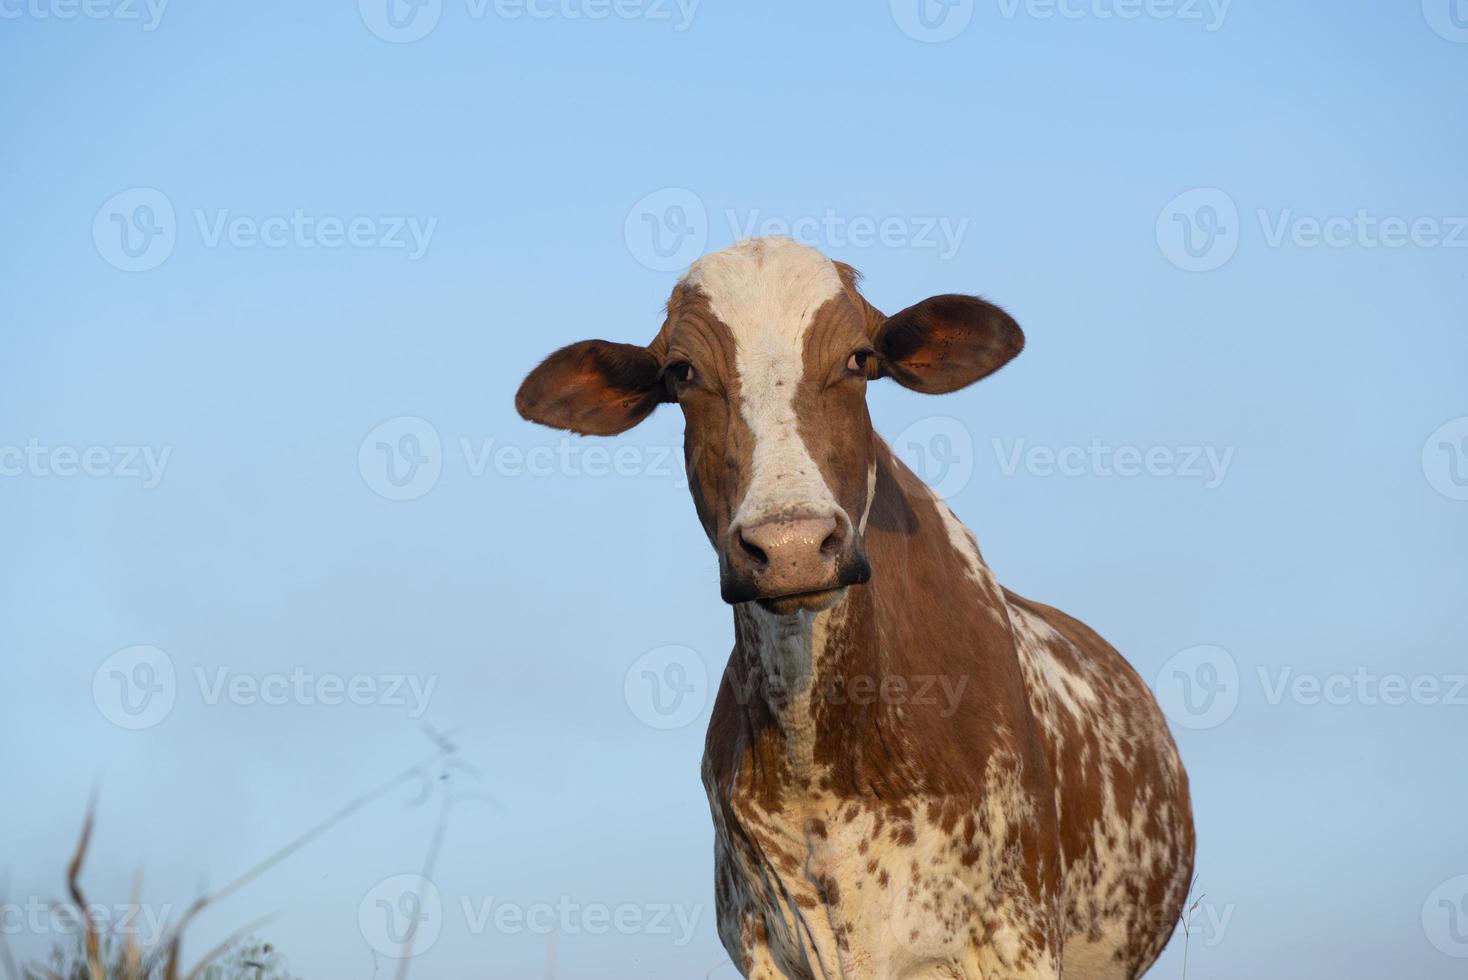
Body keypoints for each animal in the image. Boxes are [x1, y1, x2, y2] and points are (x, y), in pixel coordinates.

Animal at [513, 237, 1192, 979]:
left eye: (860, 360)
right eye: (681, 372)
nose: (792, 546)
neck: (827, 748)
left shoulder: (1020, 936)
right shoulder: (765, 944)